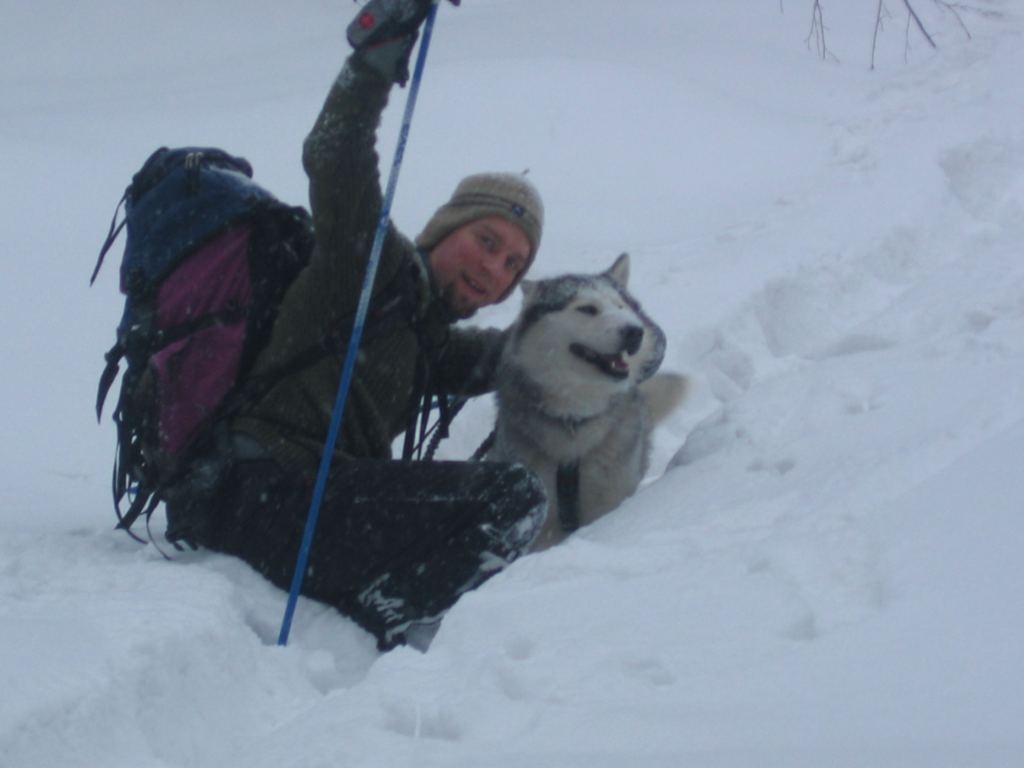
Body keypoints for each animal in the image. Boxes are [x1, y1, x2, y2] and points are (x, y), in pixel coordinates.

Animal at [488, 253, 687, 551]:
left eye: (621, 306)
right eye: (587, 309)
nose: (635, 332)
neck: (575, 420)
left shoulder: (611, 497)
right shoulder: (544, 518)